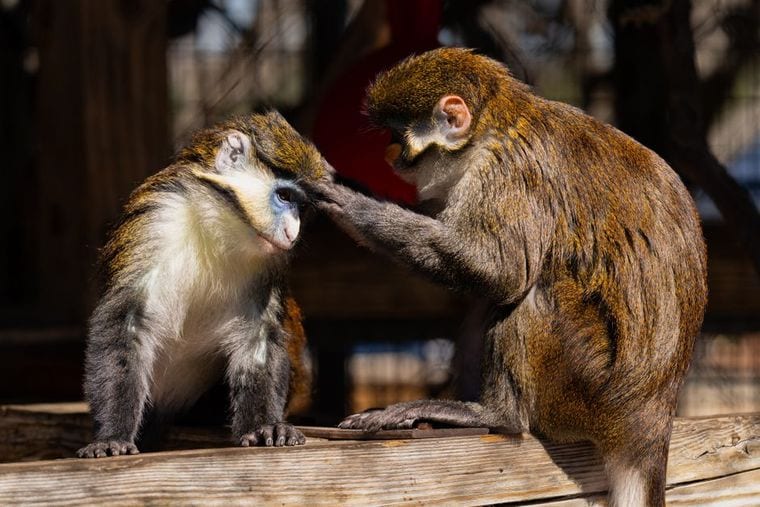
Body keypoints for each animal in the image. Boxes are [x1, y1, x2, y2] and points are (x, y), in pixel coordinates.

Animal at [77, 111, 330, 458]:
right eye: (284, 196)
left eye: (301, 208)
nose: (292, 233)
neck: (221, 223)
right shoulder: (155, 219)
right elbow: (127, 322)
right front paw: (112, 436)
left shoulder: (267, 265)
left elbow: (258, 338)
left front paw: (264, 427)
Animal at [309, 48, 707, 506]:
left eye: (396, 132)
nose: (391, 154)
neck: (495, 124)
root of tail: (650, 420)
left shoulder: (508, 172)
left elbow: (500, 271)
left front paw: (357, 206)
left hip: (592, 391)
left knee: (534, 293)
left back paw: (499, 414)